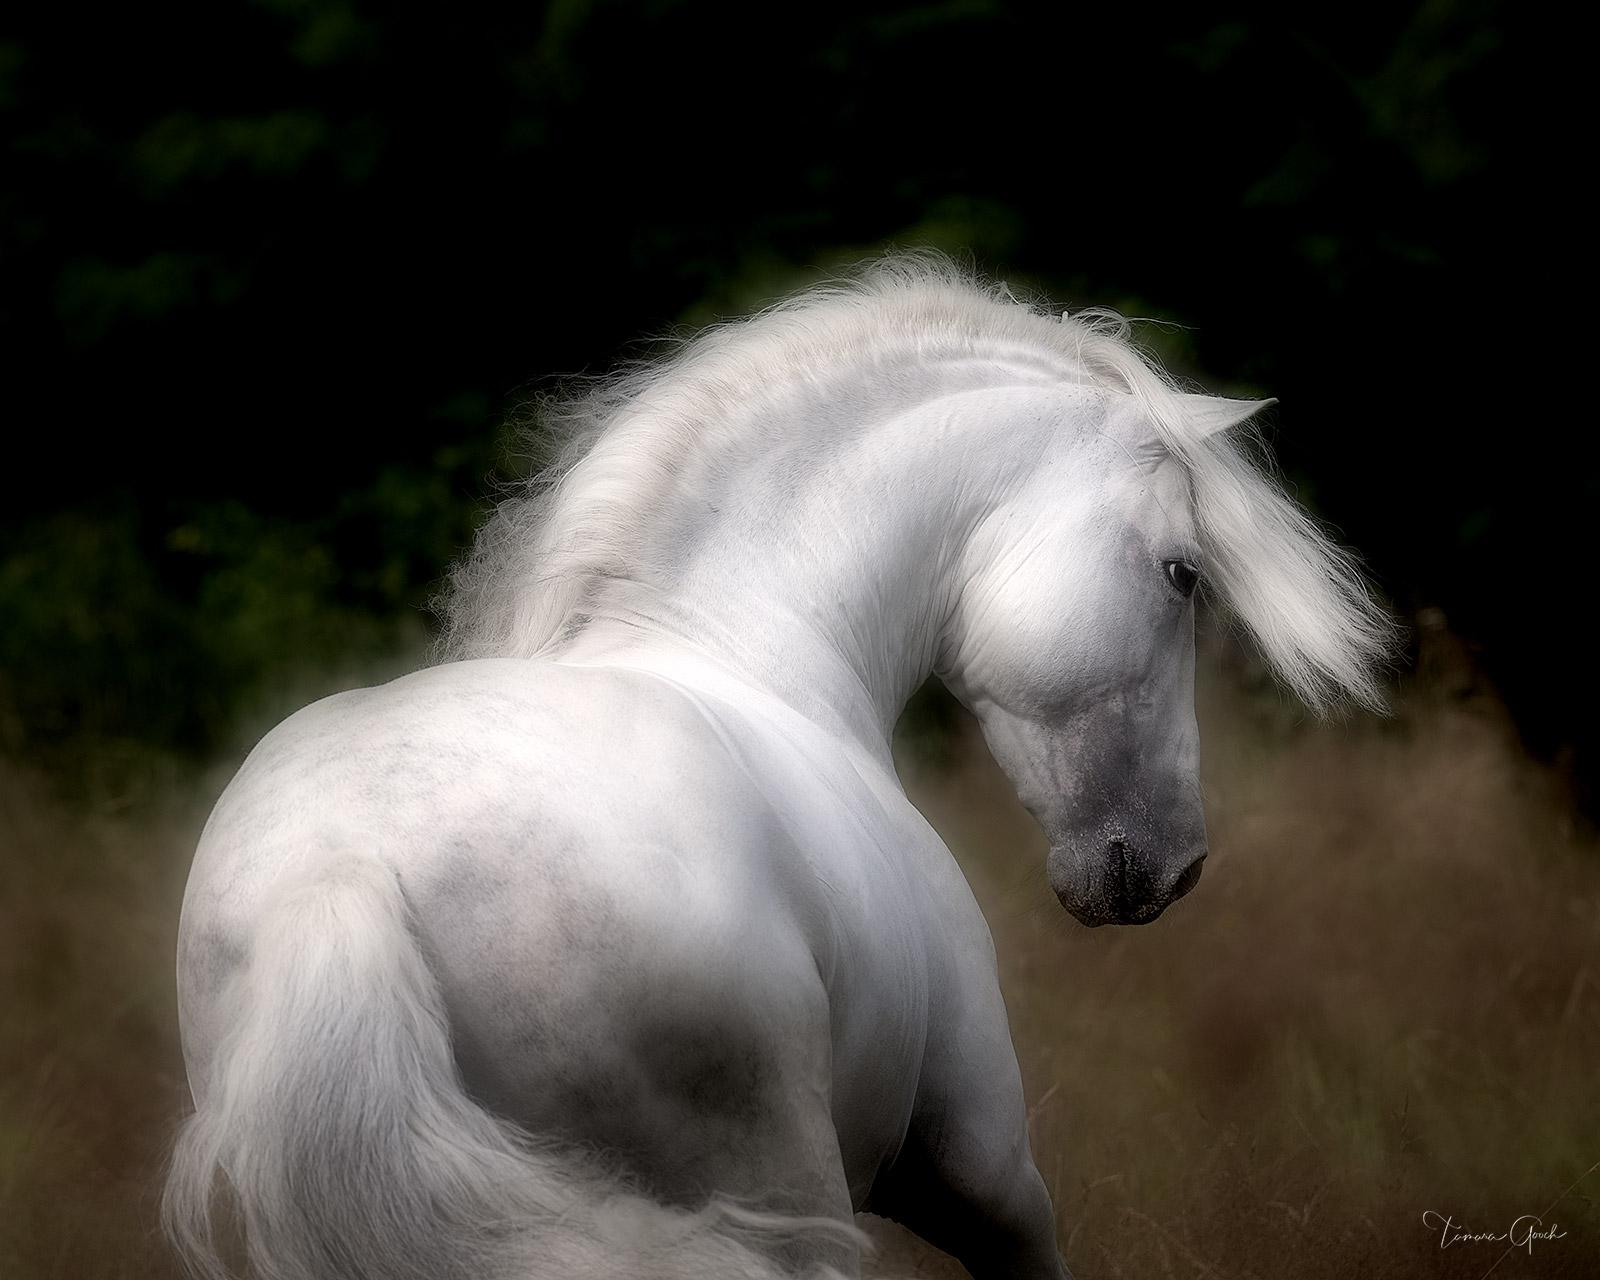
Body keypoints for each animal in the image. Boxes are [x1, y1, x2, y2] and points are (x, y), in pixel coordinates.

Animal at [163, 256, 1391, 1280]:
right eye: (1183, 573)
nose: (1173, 867)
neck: (750, 640)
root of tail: (337, 882)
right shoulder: (981, 1158)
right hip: (794, 1197)